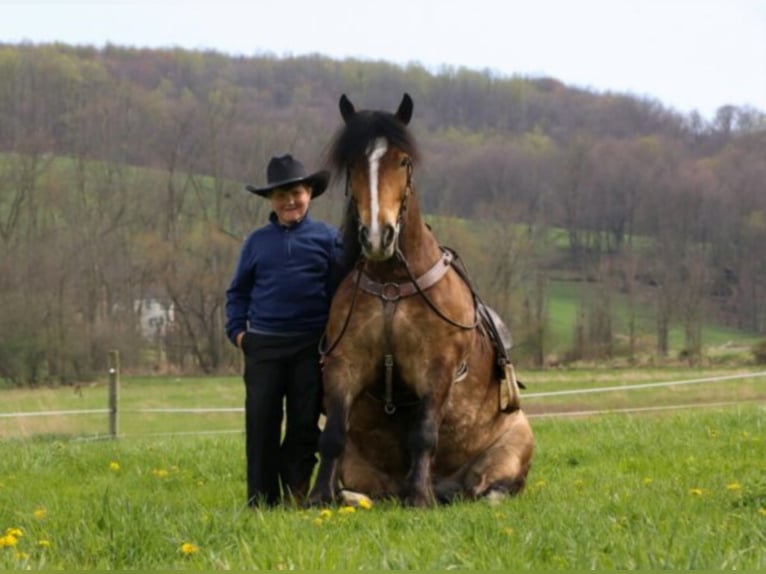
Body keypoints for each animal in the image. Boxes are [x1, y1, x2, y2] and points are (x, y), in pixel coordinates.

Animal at [308, 91, 536, 508]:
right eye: (353, 163)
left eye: (403, 160)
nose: (377, 236)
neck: (393, 284)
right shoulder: (343, 363)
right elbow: (332, 435)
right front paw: (318, 496)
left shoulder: (438, 368)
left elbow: (424, 433)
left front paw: (418, 497)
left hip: (513, 444)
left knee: (489, 491)